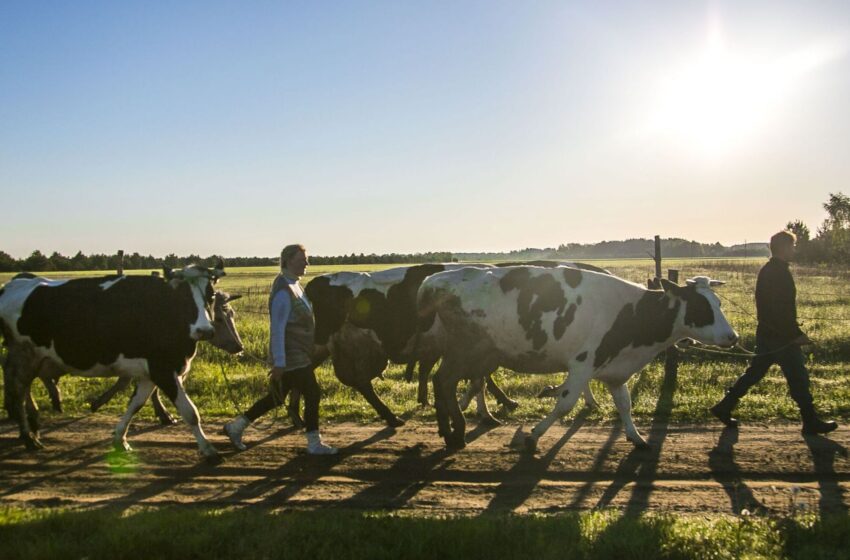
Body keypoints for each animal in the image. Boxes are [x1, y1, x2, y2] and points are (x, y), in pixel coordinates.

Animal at [0, 260, 245, 462]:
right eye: (182, 298)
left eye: (209, 295)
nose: (204, 330)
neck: (166, 313)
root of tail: (13, 285)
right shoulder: (163, 370)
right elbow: (190, 412)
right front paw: (209, 450)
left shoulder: (150, 373)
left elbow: (135, 404)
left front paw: (120, 439)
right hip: (24, 355)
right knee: (18, 391)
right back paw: (29, 436)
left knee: (21, 389)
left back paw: (33, 426)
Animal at [418, 264, 736, 452]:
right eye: (701, 307)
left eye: (719, 303)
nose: (732, 337)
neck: (632, 312)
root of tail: (435, 280)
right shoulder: (583, 365)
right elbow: (565, 403)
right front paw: (534, 435)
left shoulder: (615, 369)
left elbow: (625, 404)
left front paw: (636, 437)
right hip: (466, 351)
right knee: (445, 382)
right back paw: (456, 432)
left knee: (442, 381)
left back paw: (448, 430)